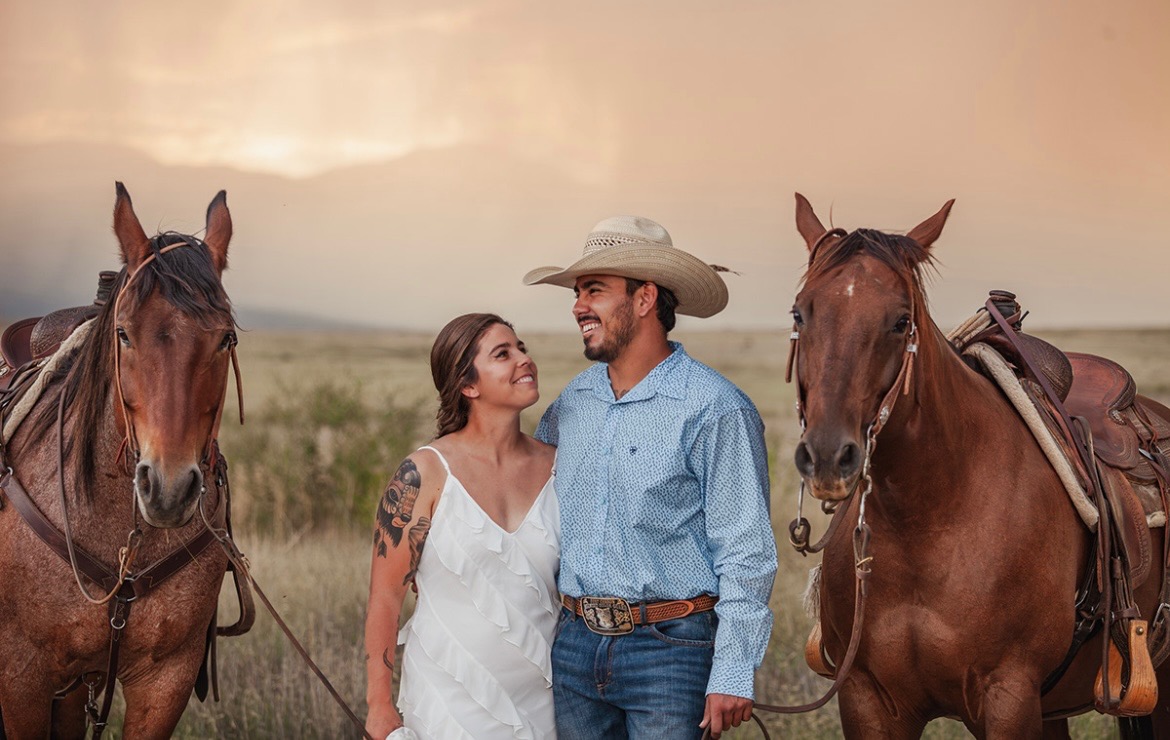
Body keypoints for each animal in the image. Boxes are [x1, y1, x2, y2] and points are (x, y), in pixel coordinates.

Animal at [786, 193, 1170, 735]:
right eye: (800, 314)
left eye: (901, 321)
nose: (826, 455)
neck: (926, 520)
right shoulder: (866, 699)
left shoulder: (1008, 697)